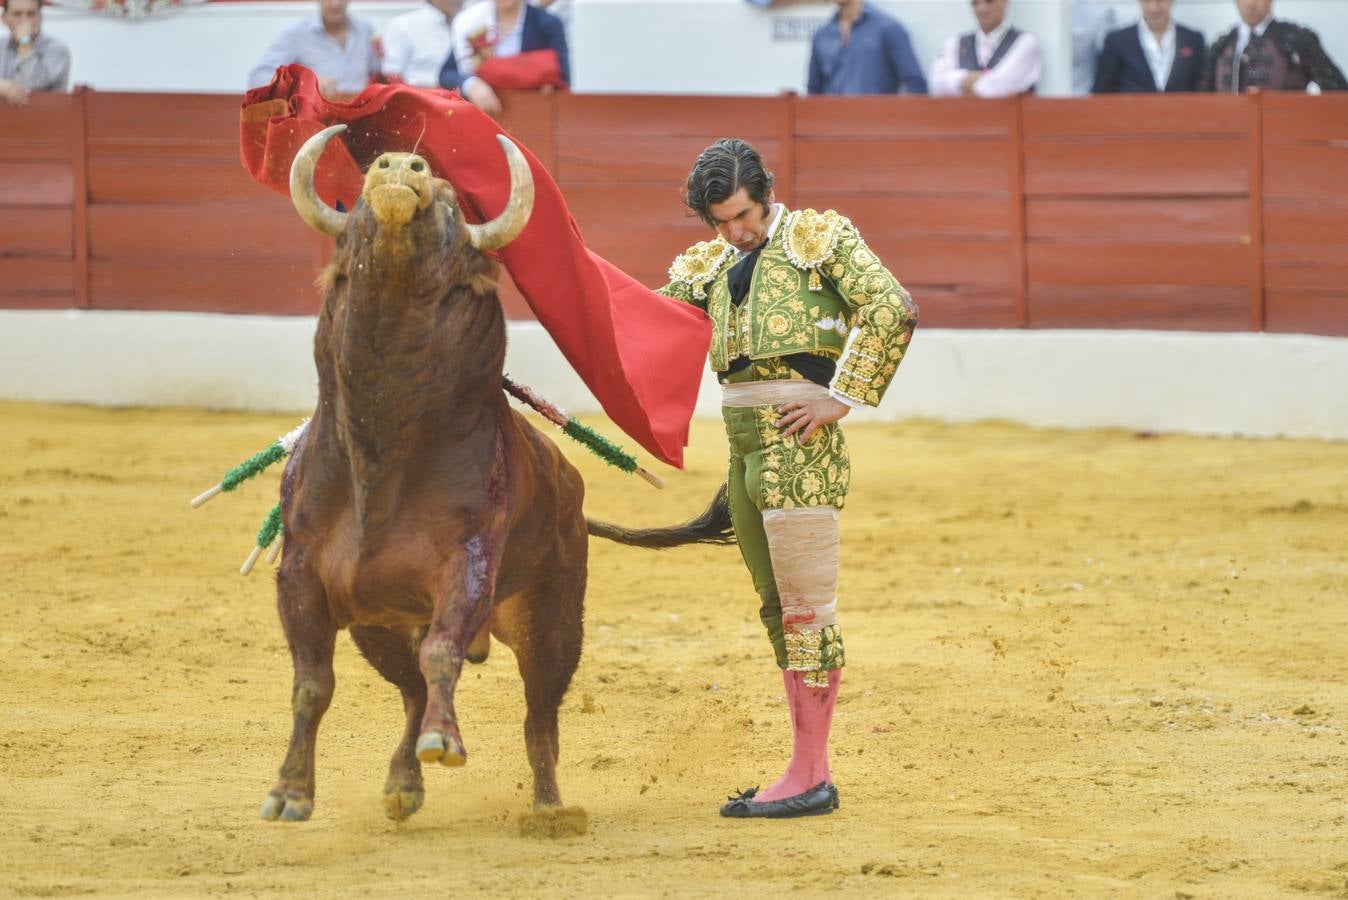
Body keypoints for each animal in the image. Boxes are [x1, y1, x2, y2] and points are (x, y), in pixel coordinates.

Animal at [261, 124, 727, 824]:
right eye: (359, 212)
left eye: (454, 207)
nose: (396, 168)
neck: (381, 447)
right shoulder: (305, 575)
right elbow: (313, 683)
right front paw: (290, 791)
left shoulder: (468, 564)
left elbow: (442, 651)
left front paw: (445, 743)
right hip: (378, 626)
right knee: (409, 691)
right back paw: (404, 783)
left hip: (553, 621)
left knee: (539, 717)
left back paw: (550, 811)